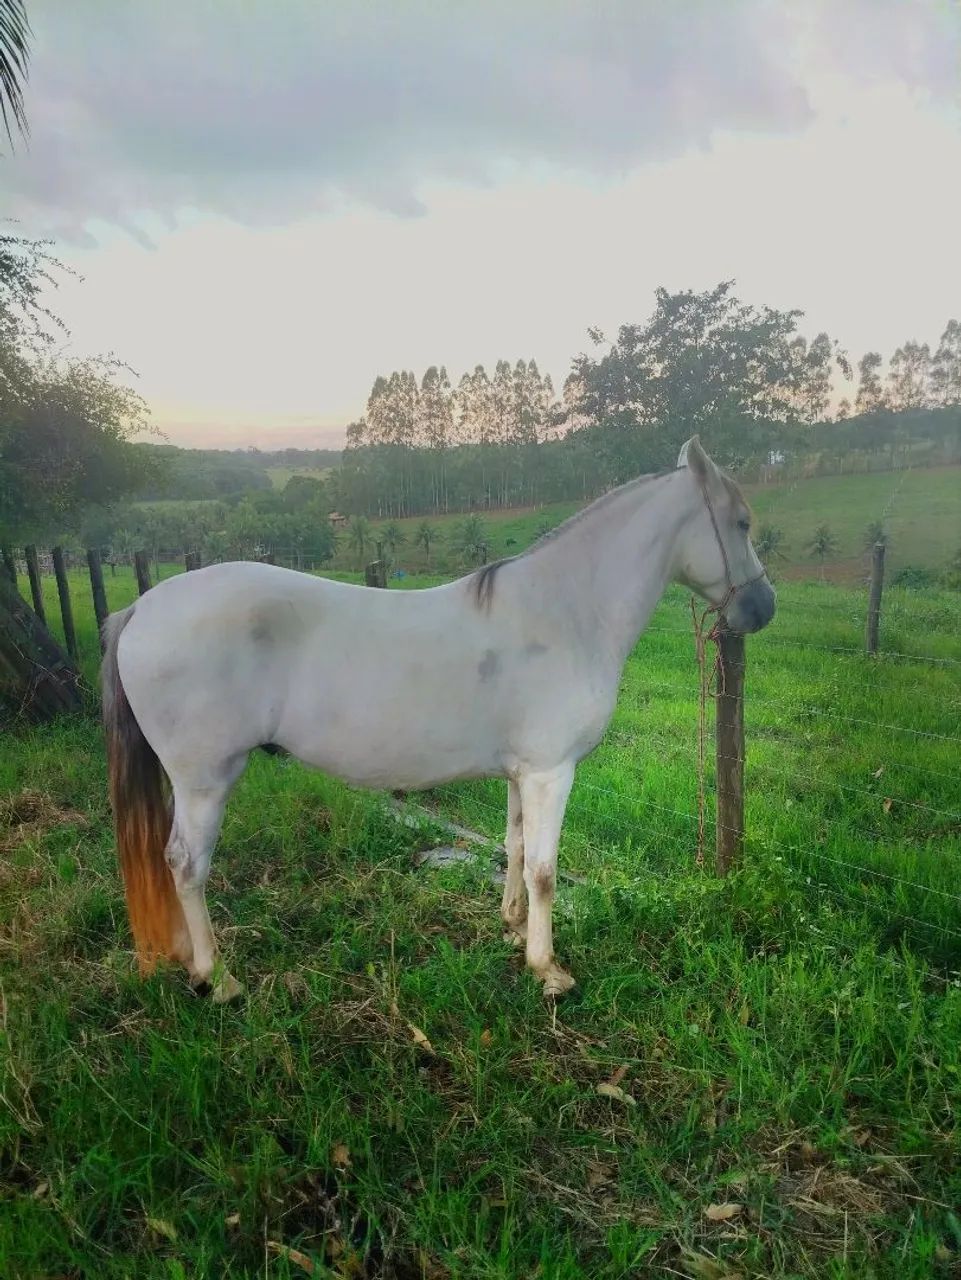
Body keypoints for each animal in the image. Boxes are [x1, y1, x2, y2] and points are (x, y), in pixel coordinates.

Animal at [102, 436, 775, 1001]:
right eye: (741, 522)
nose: (763, 608)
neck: (565, 611)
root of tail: (140, 609)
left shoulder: (522, 773)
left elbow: (514, 846)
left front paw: (512, 929)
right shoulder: (552, 773)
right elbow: (545, 870)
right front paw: (547, 969)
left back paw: (189, 959)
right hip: (205, 780)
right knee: (186, 864)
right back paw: (218, 979)